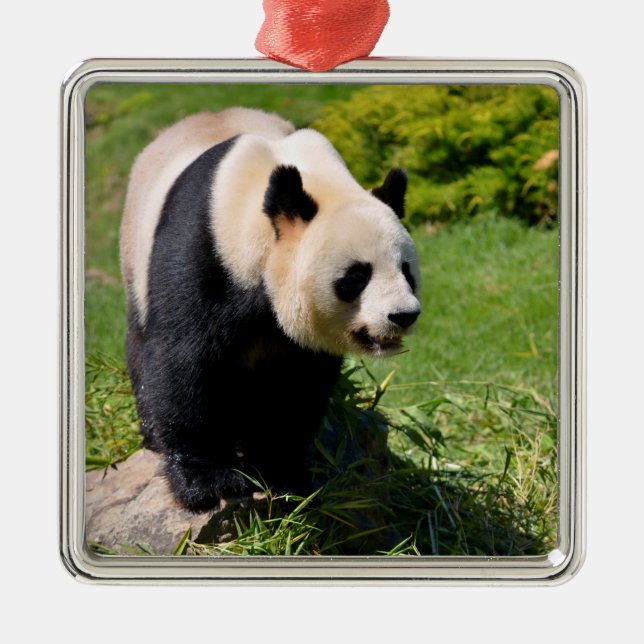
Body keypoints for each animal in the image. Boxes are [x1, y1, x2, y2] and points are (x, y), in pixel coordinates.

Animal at [120, 107, 421, 513]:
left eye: (406, 271)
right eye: (357, 276)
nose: (402, 315)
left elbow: (296, 388)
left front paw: (284, 476)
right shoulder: (205, 250)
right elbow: (183, 361)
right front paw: (209, 482)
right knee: (142, 349)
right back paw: (154, 436)